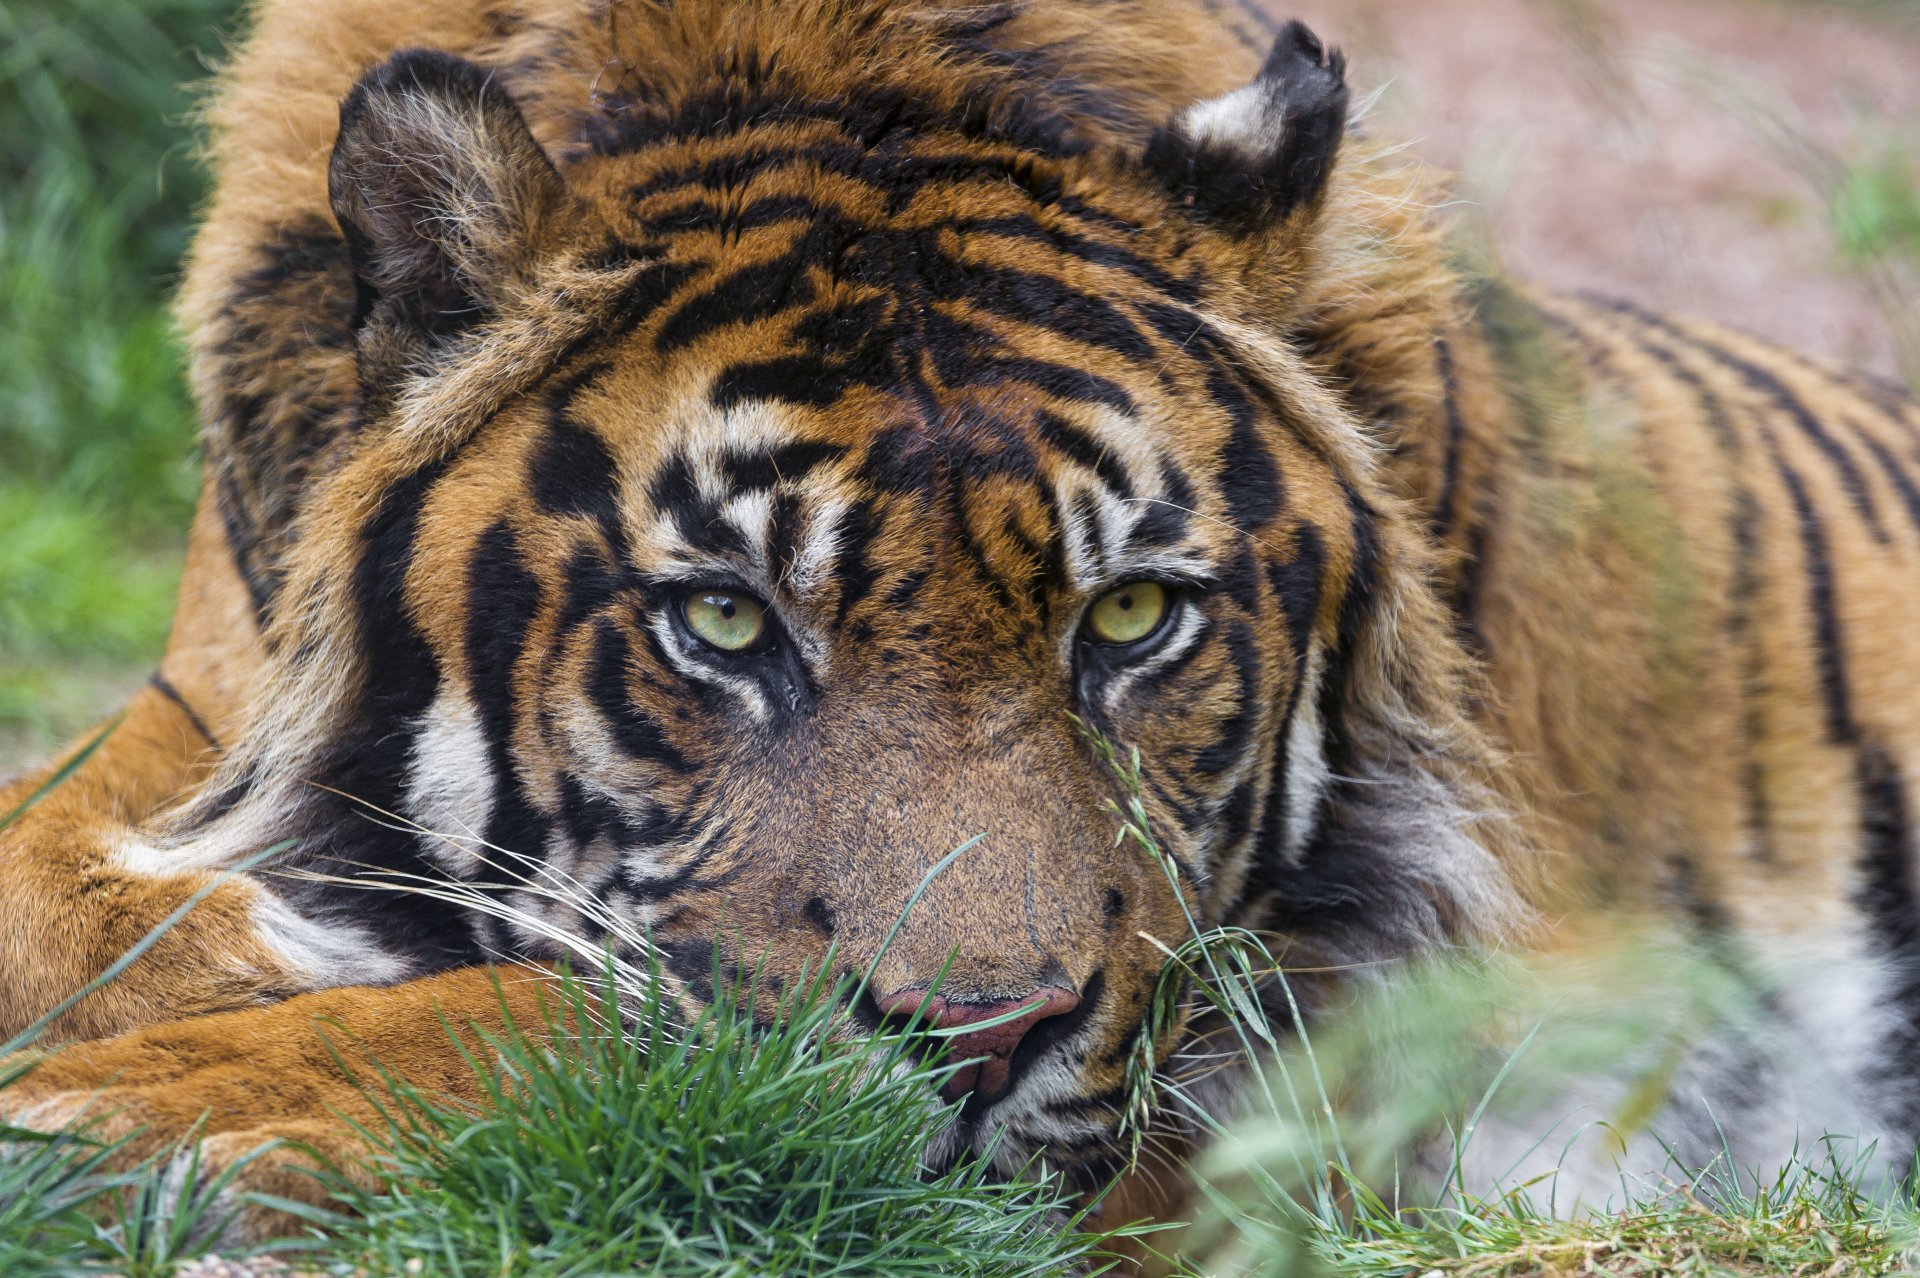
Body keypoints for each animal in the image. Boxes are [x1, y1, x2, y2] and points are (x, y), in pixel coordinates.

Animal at [5, 0, 1920, 1245]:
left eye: (1132, 615)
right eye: (724, 620)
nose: (986, 1044)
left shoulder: (1281, 1044)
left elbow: (604, 1017)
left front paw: (129, 1111)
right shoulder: (203, 703)